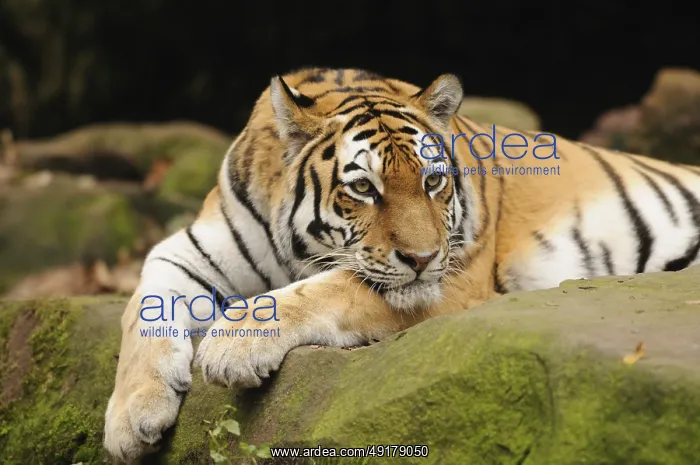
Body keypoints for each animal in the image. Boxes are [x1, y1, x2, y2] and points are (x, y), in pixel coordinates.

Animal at [103, 67, 700, 462]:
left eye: (433, 181)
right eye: (364, 188)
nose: (423, 256)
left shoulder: (455, 277)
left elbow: (330, 289)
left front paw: (231, 346)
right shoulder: (186, 247)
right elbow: (142, 307)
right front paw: (131, 418)